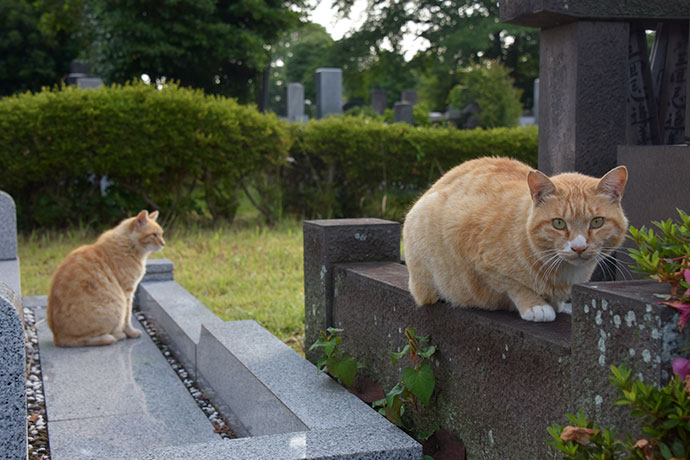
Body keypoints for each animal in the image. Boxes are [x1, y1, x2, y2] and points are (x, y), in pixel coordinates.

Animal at [46, 210, 165, 346]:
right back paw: (114, 336)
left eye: (161, 234)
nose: (163, 243)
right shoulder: (127, 292)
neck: (129, 245)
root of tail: (57, 337)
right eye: (154, 235)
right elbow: (127, 317)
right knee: (84, 339)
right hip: (115, 307)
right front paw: (131, 332)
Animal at [400, 156, 628, 322]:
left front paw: (557, 304)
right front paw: (536, 305)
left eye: (597, 222)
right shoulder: (478, 255)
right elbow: (513, 284)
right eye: (559, 223)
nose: (579, 247)